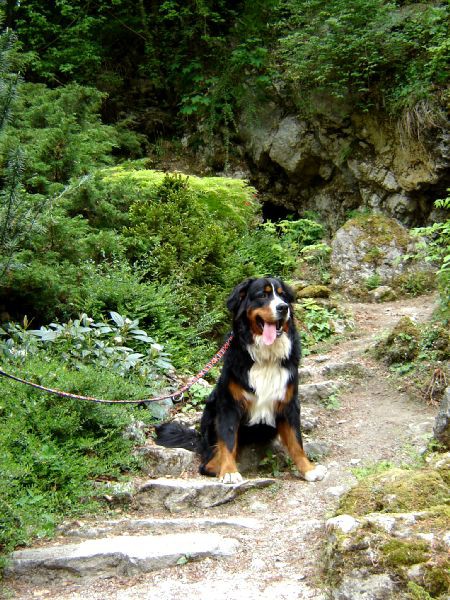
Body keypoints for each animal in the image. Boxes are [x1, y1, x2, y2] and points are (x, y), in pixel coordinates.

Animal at [156, 276, 326, 482]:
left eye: (283, 295)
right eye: (262, 295)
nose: (283, 307)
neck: (266, 358)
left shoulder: (289, 402)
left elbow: (296, 441)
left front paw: (308, 469)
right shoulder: (229, 404)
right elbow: (228, 440)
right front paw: (229, 472)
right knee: (208, 462)